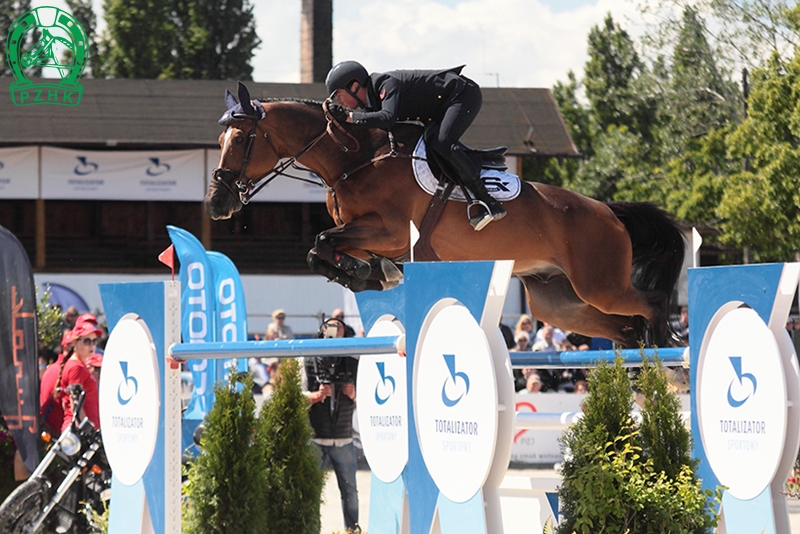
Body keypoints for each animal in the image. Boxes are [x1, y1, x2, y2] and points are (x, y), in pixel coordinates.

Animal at [203, 82, 684, 348]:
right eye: (220, 140)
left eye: (241, 139)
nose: (216, 203)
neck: (352, 159)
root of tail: (608, 211)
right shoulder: (366, 234)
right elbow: (322, 250)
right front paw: (367, 276)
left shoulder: (391, 232)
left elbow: (322, 243)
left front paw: (365, 276)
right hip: (560, 303)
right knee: (621, 327)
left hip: (600, 283)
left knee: (651, 304)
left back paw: (667, 345)